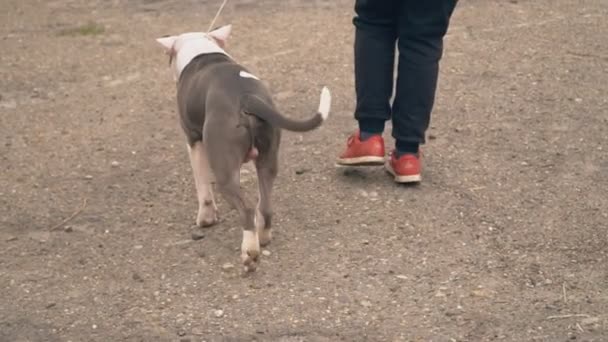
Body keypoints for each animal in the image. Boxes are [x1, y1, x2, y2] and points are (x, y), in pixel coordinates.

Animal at [154, 24, 330, 272]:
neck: (200, 48)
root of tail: (247, 97)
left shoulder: (193, 141)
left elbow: (203, 188)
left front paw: (206, 219)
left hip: (224, 172)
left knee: (246, 208)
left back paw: (250, 252)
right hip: (267, 160)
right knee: (264, 207)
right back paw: (261, 237)